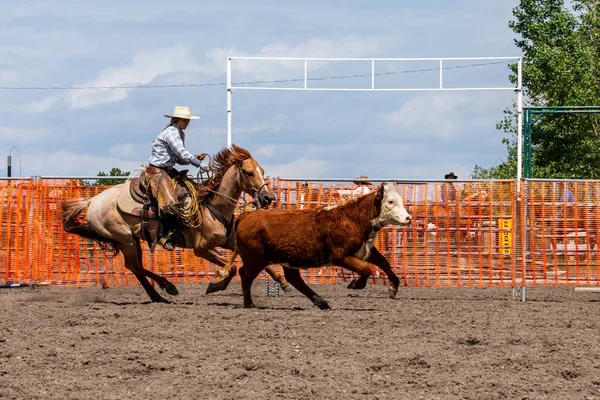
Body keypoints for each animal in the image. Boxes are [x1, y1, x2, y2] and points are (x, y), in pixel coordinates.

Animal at [62, 145, 288, 302]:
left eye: (262, 170)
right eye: (249, 173)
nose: (268, 198)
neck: (210, 206)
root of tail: (92, 200)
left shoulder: (229, 241)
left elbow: (261, 262)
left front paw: (283, 281)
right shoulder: (201, 249)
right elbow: (231, 268)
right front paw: (214, 286)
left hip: (133, 239)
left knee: (135, 267)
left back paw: (157, 295)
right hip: (125, 238)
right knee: (134, 265)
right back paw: (167, 286)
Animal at [225, 183, 412, 310]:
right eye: (390, 202)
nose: (408, 218)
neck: (353, 219)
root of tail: (245, 215)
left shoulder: (366, 250)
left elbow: (384, 263)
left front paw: (393, 288)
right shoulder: (341, 256)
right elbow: (366, 270)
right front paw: (353, 284)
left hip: (286, 260)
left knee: (294, 279)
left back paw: (321, 302)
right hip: (255, 259)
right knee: (245, 275)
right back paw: (249, 303)